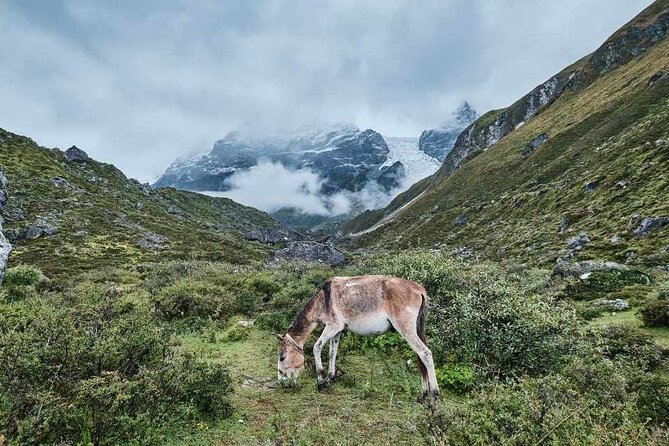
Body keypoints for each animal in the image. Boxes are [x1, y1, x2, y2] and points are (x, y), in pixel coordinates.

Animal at [274, 276, 440, 400]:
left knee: (425, 353)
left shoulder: (332, 327)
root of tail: (420, 289)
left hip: (405, 328)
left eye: (282, 358)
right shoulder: (337, 331)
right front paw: (329, 378)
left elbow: (317, 347)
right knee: (419, 356)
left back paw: (433, 395)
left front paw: (320, 380)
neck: (322, 300)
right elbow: (332, 353)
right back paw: (423, 394)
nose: (281, 381)